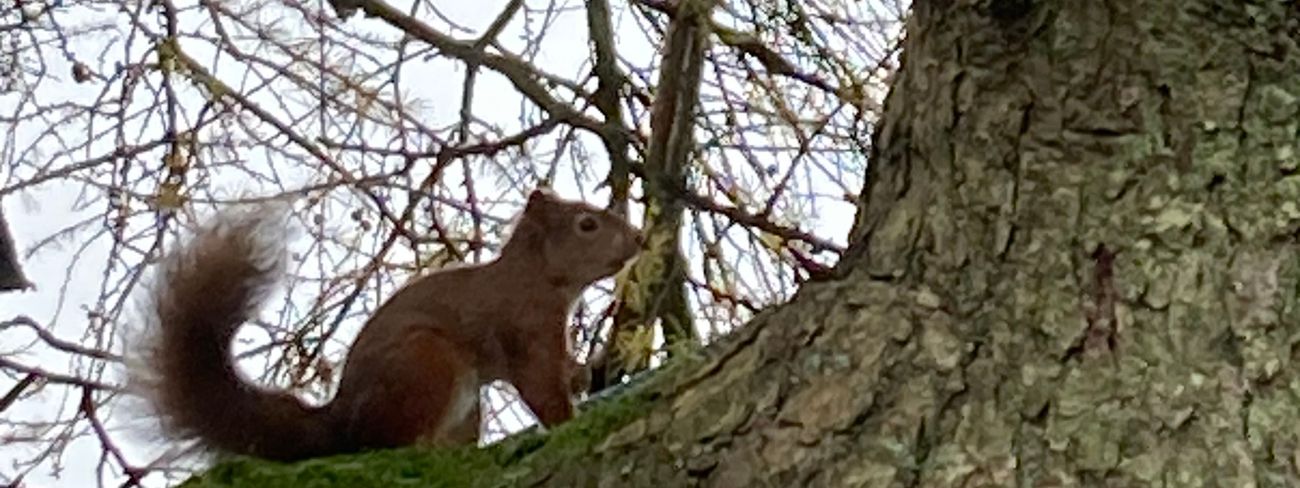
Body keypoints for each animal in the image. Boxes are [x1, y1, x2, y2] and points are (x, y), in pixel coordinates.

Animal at [131, 188, 642, 461]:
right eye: (587, 224)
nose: (638, 239)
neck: (537, 277)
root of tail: (340, 425)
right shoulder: (526, 329)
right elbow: (541, 388)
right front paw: (569, 421)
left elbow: (564, 370)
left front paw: (586, 371)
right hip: (426, 363)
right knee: (391, 442)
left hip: (463, 405)